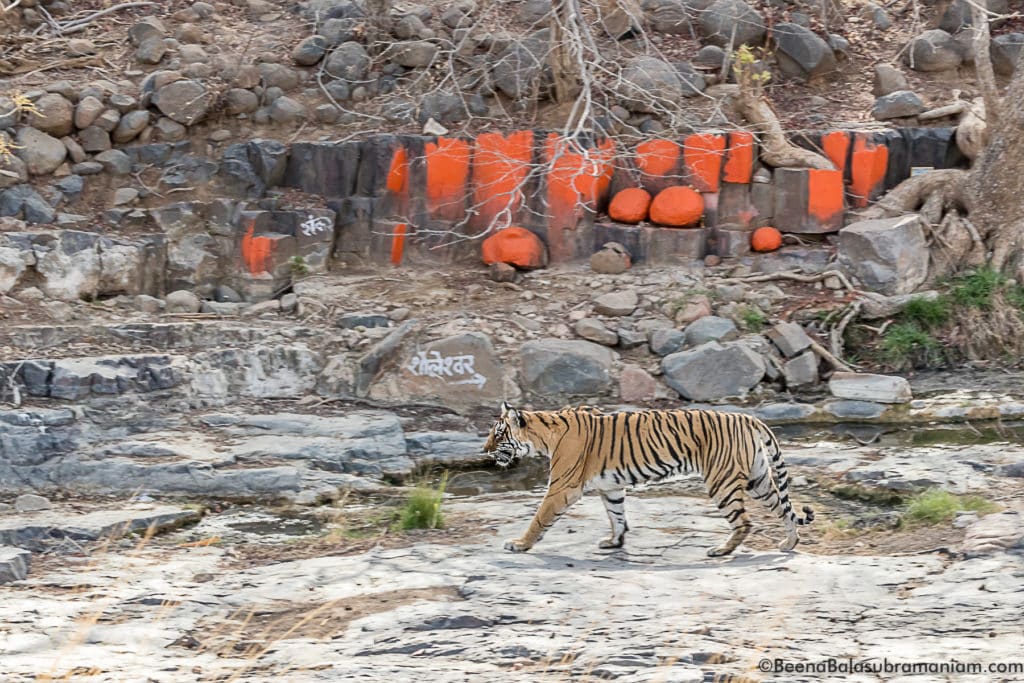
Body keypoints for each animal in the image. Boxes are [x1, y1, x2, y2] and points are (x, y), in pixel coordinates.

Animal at [481, 403, 815, 557]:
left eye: (498, 434)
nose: (482, 450)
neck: (544, 434)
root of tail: (747, 417)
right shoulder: (611, 486)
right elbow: (617, 515)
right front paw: (614, 542)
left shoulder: (562, 487)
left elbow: (539, 518)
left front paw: (519, 544)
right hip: (758, 480)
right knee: (784, 509)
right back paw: (789, 543)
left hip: (721, 482)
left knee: (745, 521)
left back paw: (721, 550)